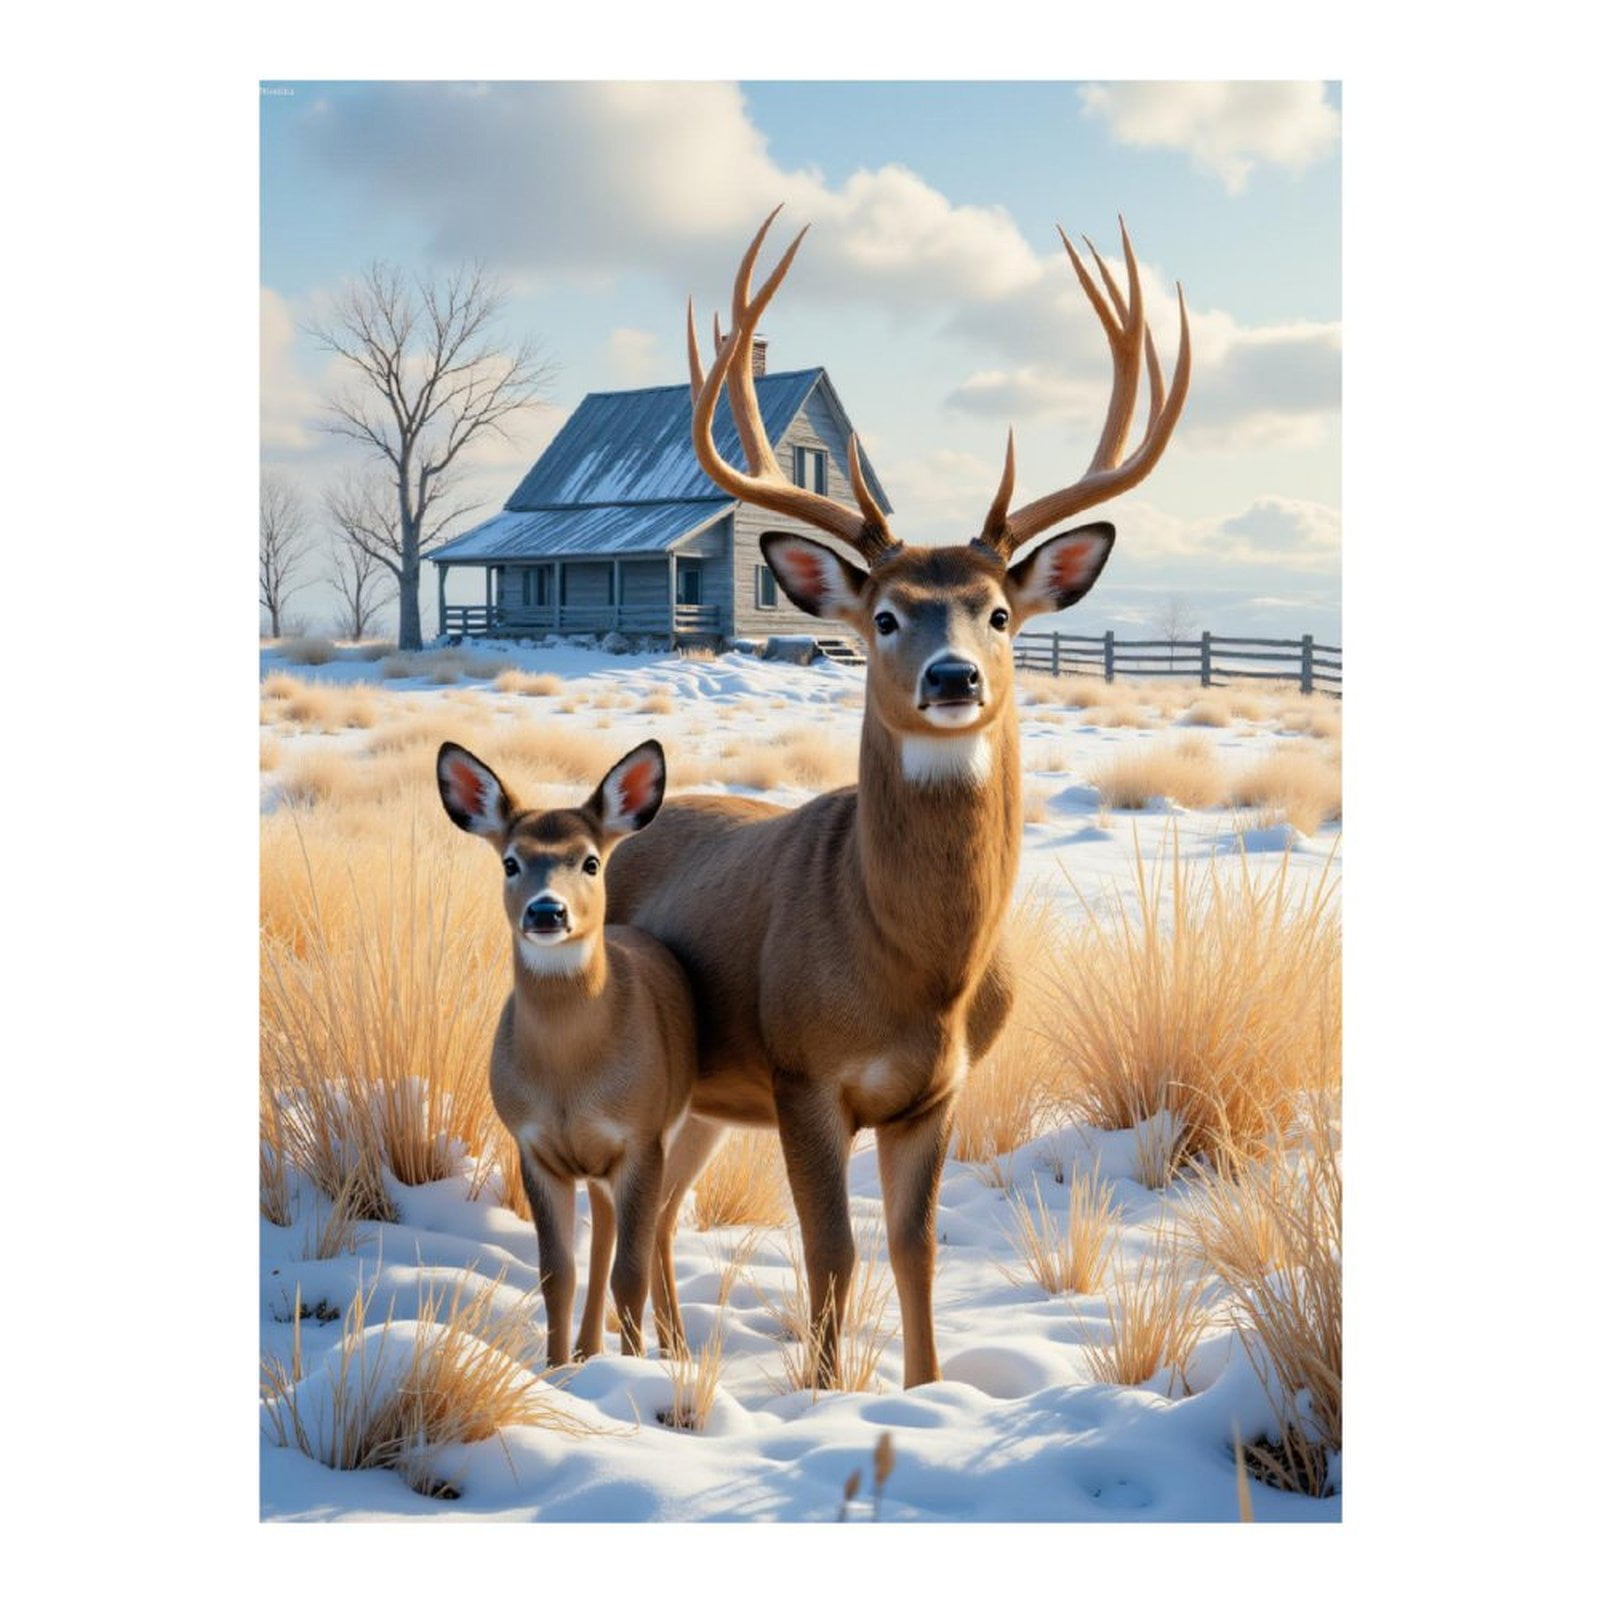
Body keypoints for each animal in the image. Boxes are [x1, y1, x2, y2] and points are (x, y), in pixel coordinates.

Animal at [436, 737, 696, 1367]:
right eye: (510, 862)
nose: (547, 911)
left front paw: (630, 1368)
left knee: (645, 1233)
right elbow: (557, 1273)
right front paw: (556, 1369)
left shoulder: (640, 1139)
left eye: (591, 862)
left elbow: (630, 1274)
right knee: (602, 1232)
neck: (569, 1079)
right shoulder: (534, 1147)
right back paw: (585, 1350)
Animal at [606, 209, 1190, 1389]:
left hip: (702, 1100)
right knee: (622, 1210)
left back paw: (673, 1359)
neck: (918, 970)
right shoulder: (803, 1075)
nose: (953, 677)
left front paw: (924, 1390)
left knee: (663, 1212)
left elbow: (916, 1253)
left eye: (1000, 612)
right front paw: (829, 1393)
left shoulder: (935, 1093)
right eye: (882, 615)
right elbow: (830, 1253)